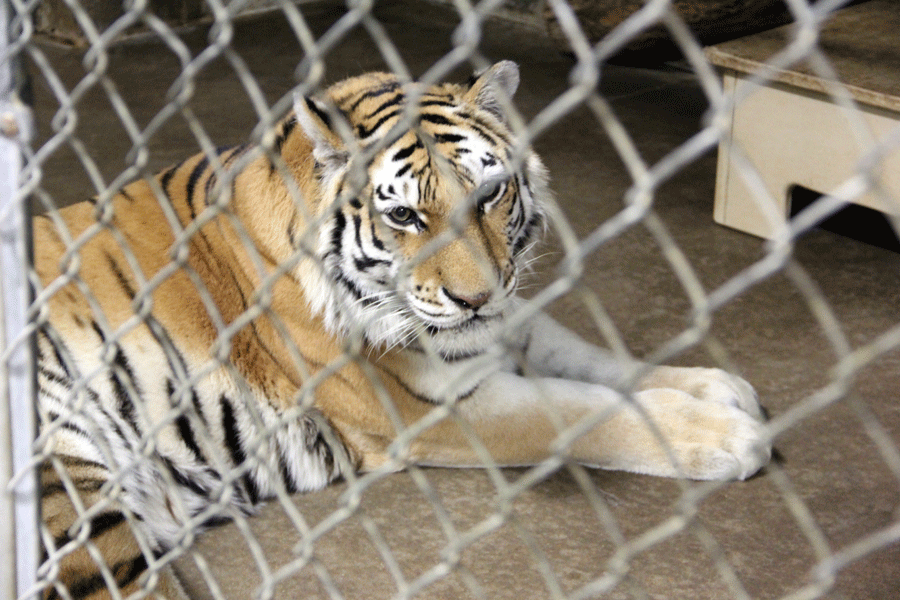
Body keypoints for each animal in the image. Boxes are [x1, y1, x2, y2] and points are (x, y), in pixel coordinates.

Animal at [33, 61, 771, 600]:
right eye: (406, 217)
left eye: (490, 194)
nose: (476, 297)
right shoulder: (428, 403)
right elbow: (580, 408)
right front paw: (726, 435)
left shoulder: (499, 323)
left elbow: (595, 360)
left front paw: (717, 386)